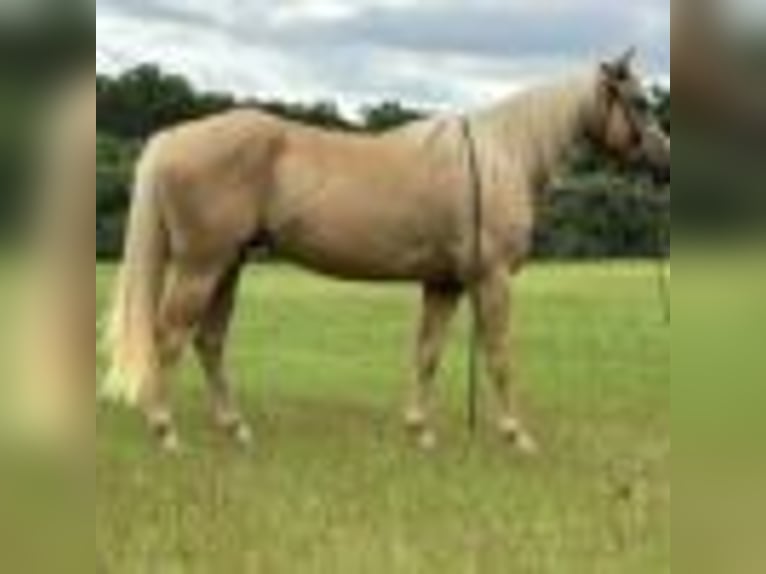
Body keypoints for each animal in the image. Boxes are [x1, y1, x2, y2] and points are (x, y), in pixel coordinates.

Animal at [103, 51, 670, 452]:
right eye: (640, 102)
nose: (665, 162)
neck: (499, 157)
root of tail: (174, 137)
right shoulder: (492, 280)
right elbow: (499, 355)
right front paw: (517, 436)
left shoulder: (445, 283)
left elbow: (428, 352)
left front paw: (419, 431)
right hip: (202, 265)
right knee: (169, 338)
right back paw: (166, 432)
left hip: (228, 265)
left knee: (209, 341)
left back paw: (235, 429)